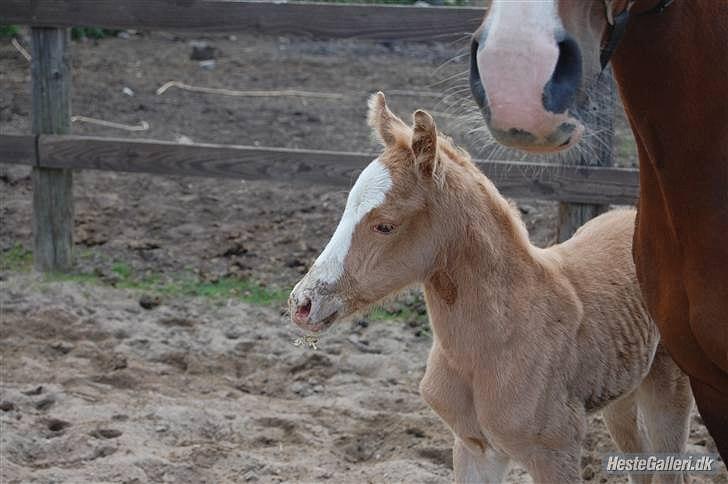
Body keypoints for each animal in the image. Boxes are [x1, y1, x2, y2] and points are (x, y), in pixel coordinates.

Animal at [288, 92, 692, 482]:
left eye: (385, 225)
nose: (302, 303)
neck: (497, 342)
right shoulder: (475, 447)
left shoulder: (555, 451)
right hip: (622, 391)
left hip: (668, 387)